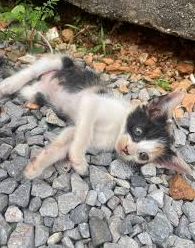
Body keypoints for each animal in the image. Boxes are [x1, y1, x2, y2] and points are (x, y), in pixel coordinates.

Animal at [0, 54, 193, 178]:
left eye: (143, 156)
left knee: (30, 91)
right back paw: (7, 84)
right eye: (138, 131)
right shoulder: (92, 101)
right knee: (34, 69)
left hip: (34, 94)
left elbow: (64, 142)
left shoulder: (77, 129)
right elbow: (85, 131)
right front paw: (78, 160)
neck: (115, 130)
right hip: (60, 62)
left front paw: (35, 167)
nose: (127, 149)